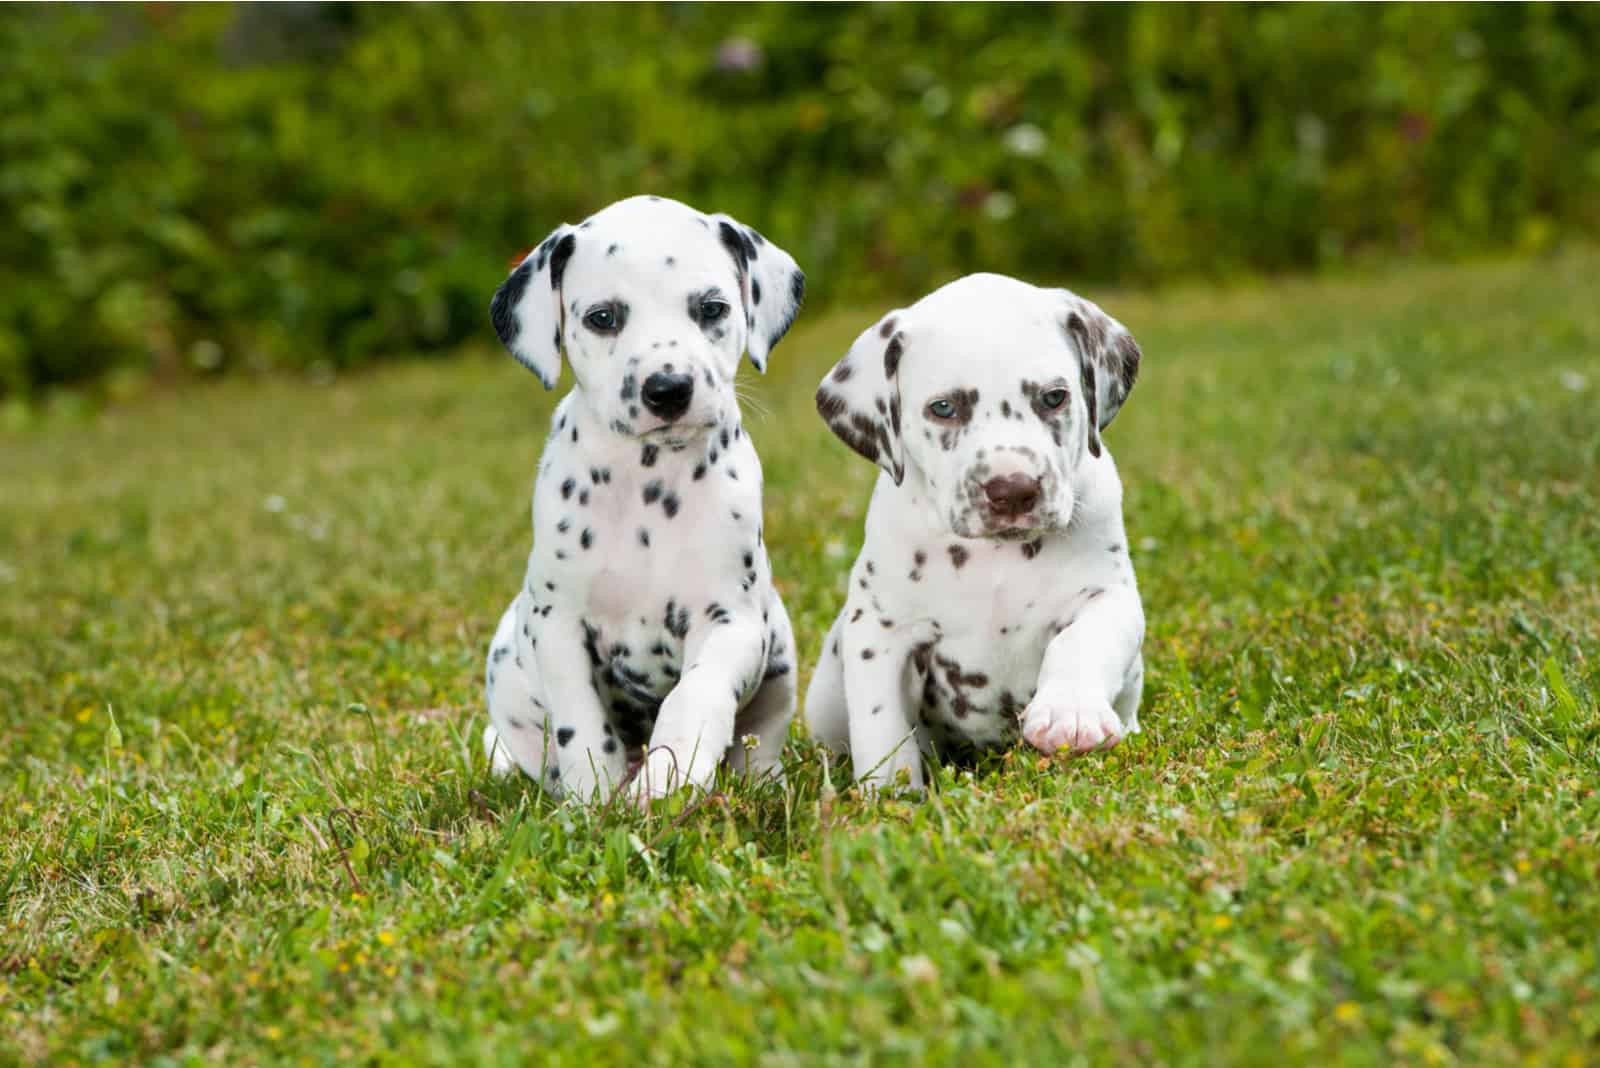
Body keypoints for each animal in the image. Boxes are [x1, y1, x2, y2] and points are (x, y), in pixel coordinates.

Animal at [473, 195, 800, 805]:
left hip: (781, 654)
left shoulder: (733, 620)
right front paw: (593, 797)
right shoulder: (558, 624)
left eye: (712, 308)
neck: (650, 486)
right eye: (602, 318)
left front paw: (670, 773)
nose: (668, 389)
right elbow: (580, 719)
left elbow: (695, 696)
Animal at [806, 273, 1145, 793]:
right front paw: (890, 796)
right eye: (943, 407)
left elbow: (1084, 641)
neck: (994, 560)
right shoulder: (880, 631)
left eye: (1054, 397)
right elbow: (883, 725)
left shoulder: (1109, 596)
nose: (1013, 489)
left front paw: (1070, 713)